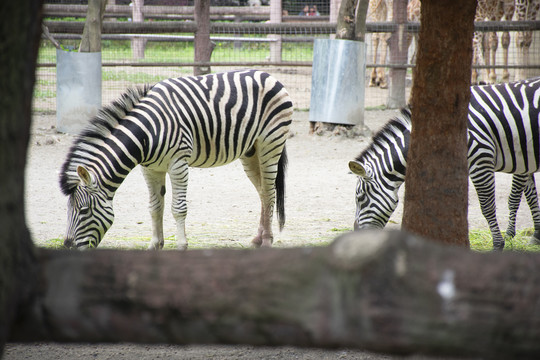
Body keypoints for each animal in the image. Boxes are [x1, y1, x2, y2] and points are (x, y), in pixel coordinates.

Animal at [59, 69, 294, 250]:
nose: (68, 247)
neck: (146, 134)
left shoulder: (178, 163)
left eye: (83, 211)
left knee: (270, 192)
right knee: (263, 192)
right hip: (250, 152)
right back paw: (257, 239)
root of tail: (268, 75)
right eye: (68, 210)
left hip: (270, 144)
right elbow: (155, 207)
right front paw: (155, 245)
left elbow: (178, 208)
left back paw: (267, 241)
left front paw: (181, 245)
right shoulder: (150, 168)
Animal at [348, 76, 540, 250]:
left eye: (360, 198)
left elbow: (488, 205)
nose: (357, 237)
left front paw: (498, 245)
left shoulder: (481, 158)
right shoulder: (522, 159)